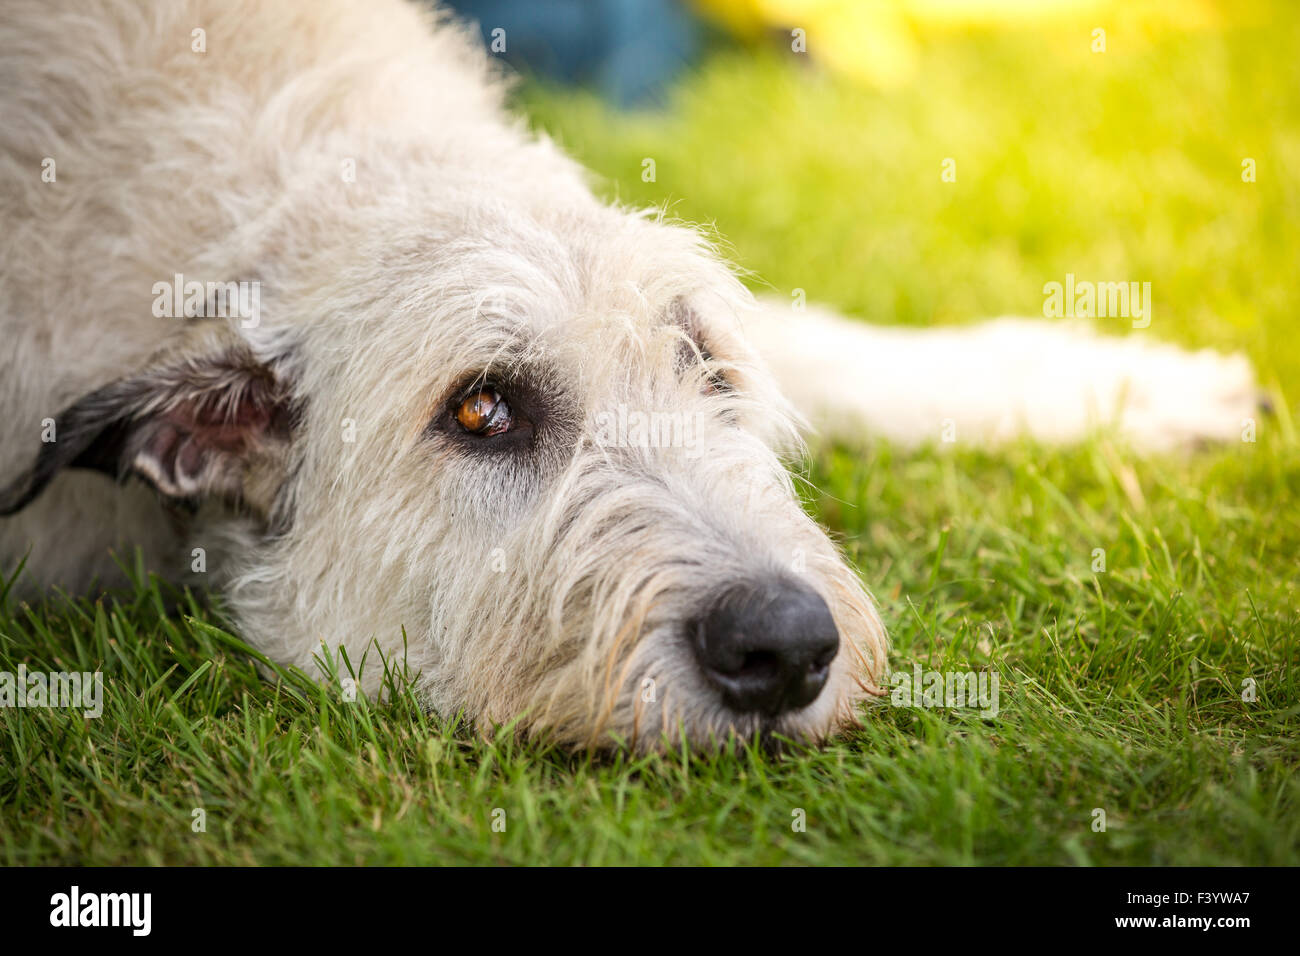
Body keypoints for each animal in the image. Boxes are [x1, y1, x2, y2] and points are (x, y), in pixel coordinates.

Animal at [0, 0, 1258, 749]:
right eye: (484, 409)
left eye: (704, 367)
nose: (784, 644)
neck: (300, 196)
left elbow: (835, 351)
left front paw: (1123, 386)